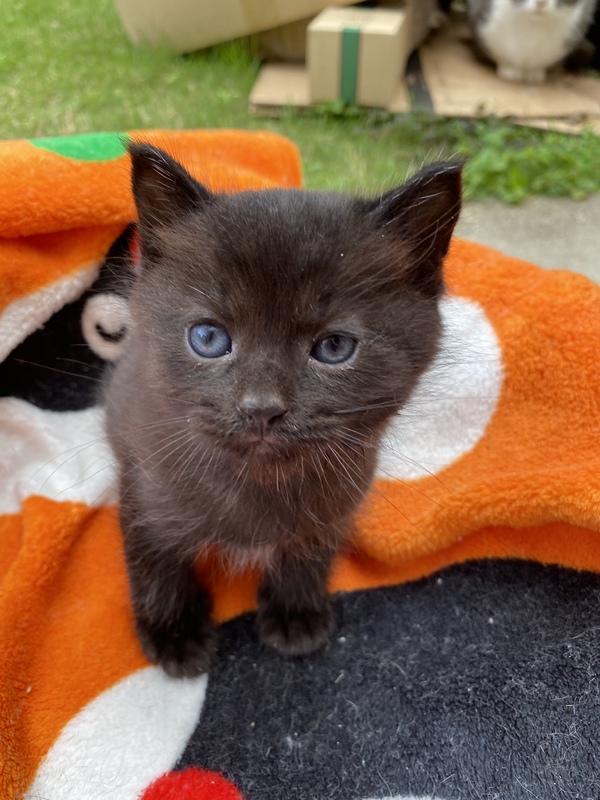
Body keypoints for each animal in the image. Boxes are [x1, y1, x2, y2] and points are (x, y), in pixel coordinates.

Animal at [103, 143, 462, 678]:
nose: (261, 408)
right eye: (208, 338)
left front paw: (295, 614)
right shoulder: (145, 482)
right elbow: (155, 559)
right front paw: (174, 633)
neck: (259, 485)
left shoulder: (337, 503)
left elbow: (308, 553)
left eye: (334, 347)